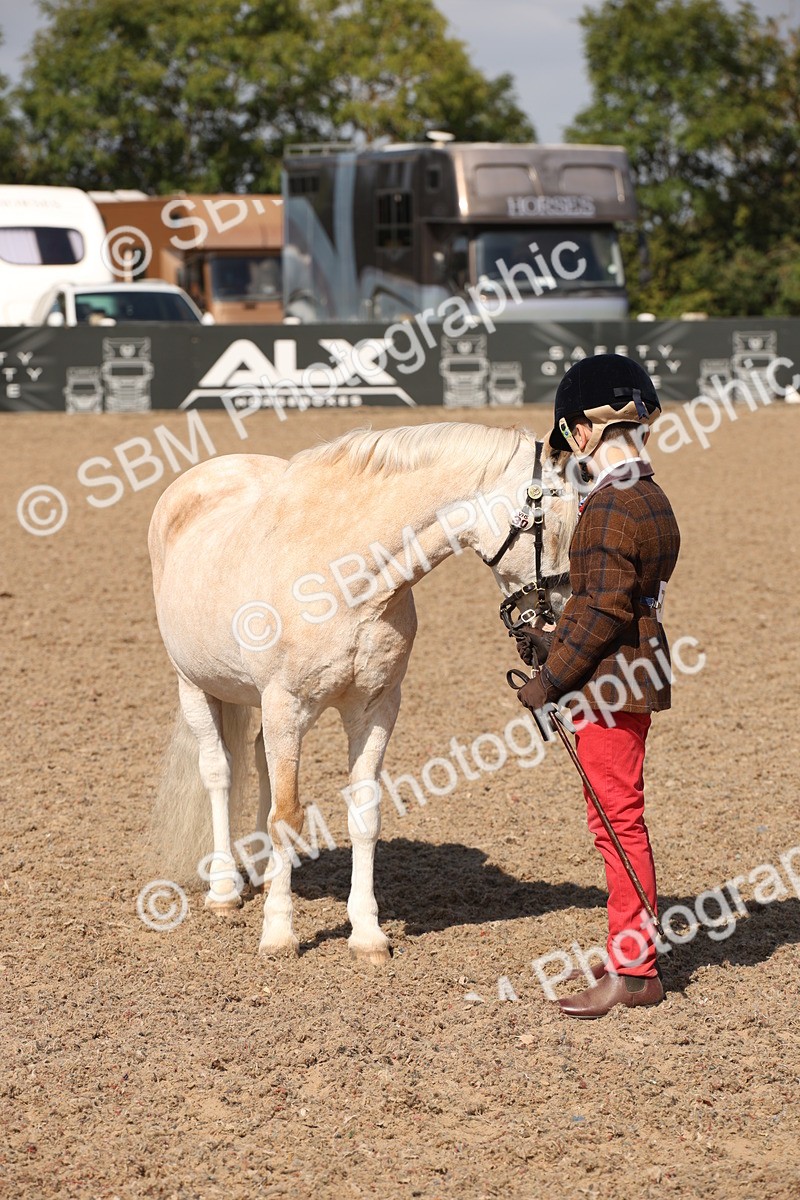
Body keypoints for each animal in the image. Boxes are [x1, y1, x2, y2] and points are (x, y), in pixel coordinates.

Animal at [148, 421, 577, 962]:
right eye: (558, 511)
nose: (561, 611)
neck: (344, 579)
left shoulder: (375, 709)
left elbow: (363, 815)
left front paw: (367, 934)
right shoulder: (286, 704)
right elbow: (286, 815)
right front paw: (279, 934)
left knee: (261, 760)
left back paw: (265, 875)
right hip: (195, 685)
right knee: (219, 772)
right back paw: (225, 889)